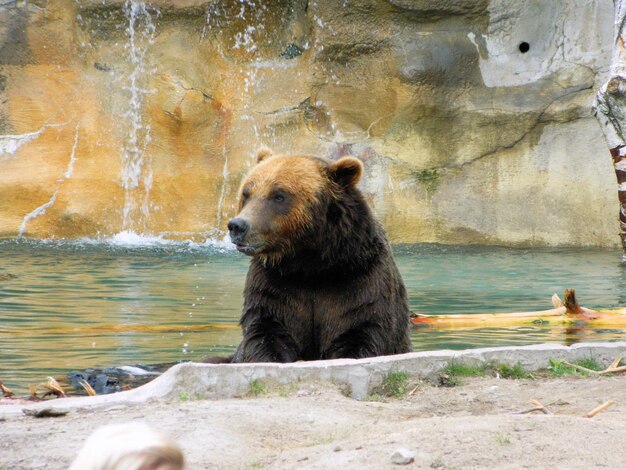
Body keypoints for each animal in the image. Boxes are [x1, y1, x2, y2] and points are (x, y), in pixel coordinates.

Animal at [224, 149, 410, 362]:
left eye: (278, 195)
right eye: (246, 193)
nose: (237, 226)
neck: (311, 265)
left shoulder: (361, 276)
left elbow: (361, 328)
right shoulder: (274, 282)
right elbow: (266, 331)